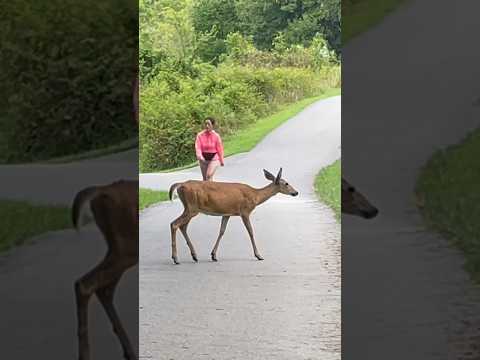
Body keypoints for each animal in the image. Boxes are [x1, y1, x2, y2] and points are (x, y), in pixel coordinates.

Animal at [168, 167, 296, 262]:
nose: (296, 192)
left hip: (189, 208)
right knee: (174, 224)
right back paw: (176, 258)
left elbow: (222, 231)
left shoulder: (227, 213)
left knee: (182, 226)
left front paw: (214, 255)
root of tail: (180, 185)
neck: (255, 196)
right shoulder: (245, 211)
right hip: (192, 208)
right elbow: (251, 232)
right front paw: (258, 255)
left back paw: (194, 256)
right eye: (286, 183)